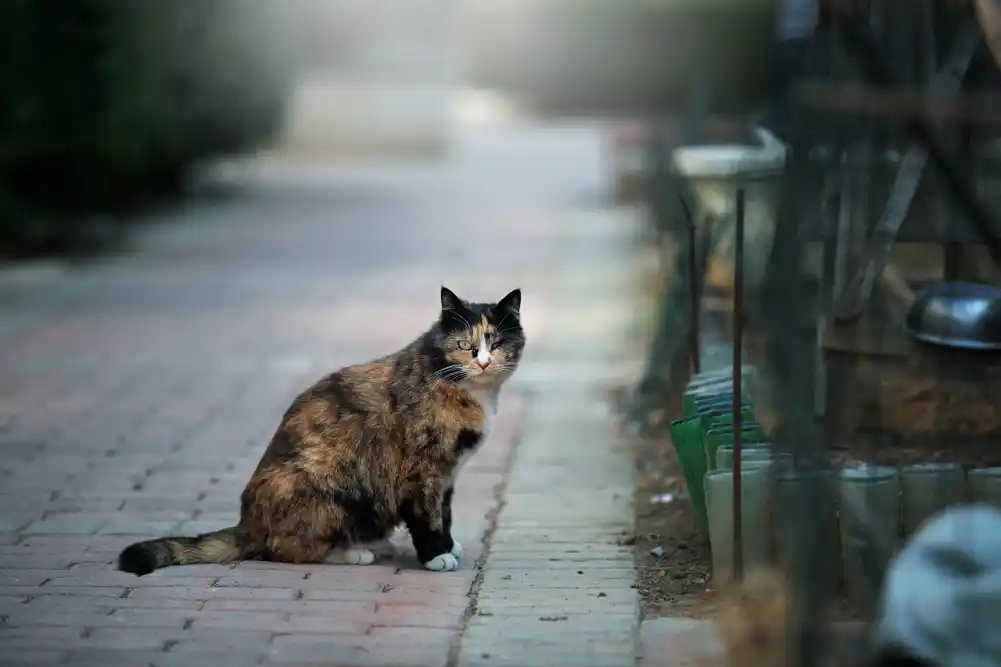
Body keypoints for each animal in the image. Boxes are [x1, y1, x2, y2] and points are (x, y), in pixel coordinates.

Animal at [119, 284, 524, 572]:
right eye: (465, 345)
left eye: (496, 343)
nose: (484, 362)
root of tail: (247, 525)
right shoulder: (422, 470)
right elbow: (428, 515)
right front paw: (436, 555)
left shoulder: (447, 474)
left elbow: (446, 512)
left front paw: (448, 544)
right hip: (336, 490)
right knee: (282, 549)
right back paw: (353, 553)